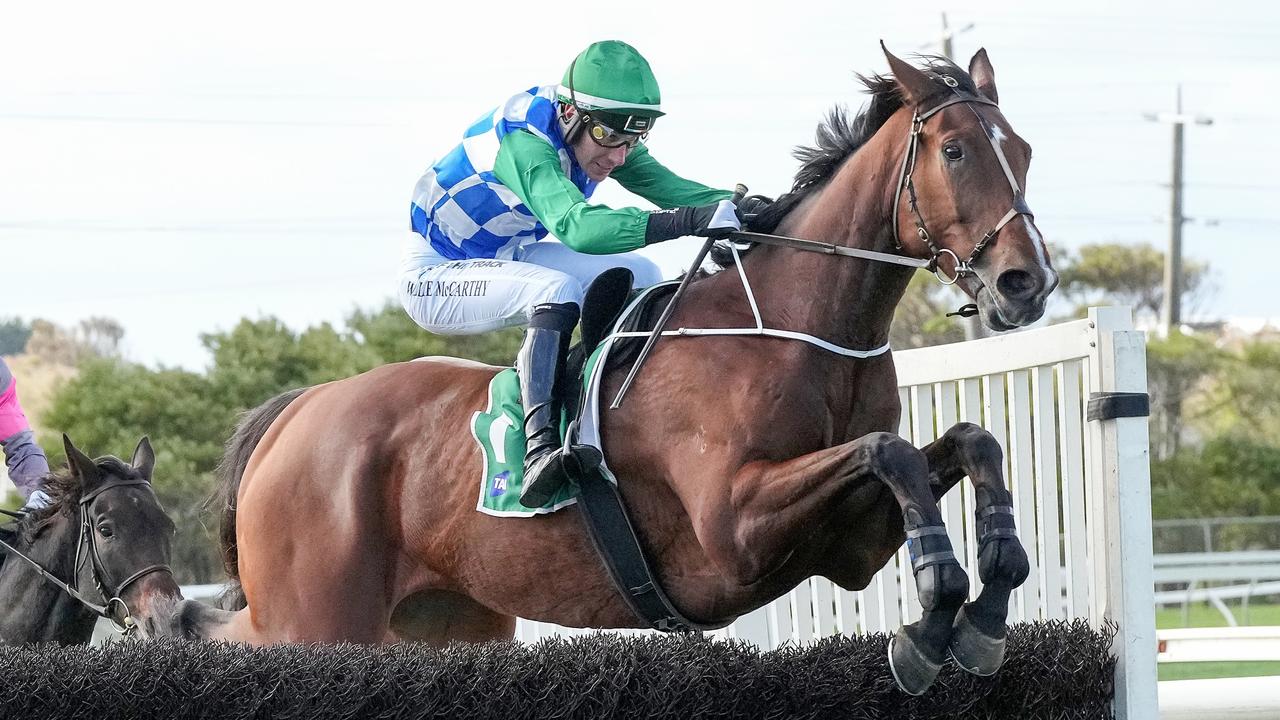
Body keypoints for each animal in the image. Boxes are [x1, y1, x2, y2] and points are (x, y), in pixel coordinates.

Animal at [180, 46, 1059, 696]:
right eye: (955, 151)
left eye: (1022, 151)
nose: (1027, 283)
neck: (798, 331)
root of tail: (296, 414)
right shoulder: (734, 527)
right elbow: (892, 451)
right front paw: (941, 605)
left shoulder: (850, 546)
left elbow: (969, 441)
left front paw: (978, 611)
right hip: (312, 619)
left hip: (446, 623)